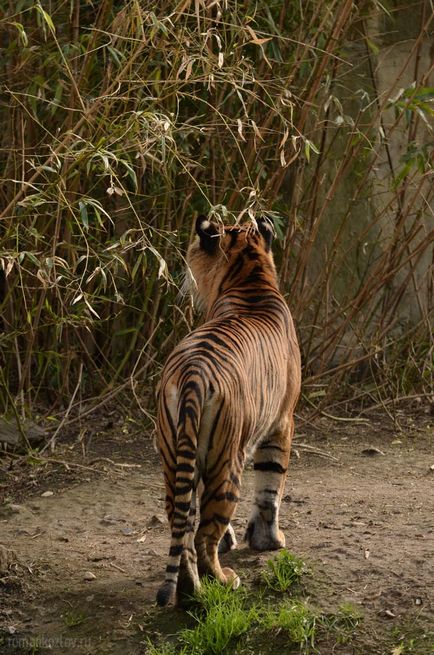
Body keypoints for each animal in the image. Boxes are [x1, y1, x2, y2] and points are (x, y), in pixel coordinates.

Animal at [156, 218, 302, 608]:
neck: (250, 276)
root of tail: (193, 371)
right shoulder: (282, 423)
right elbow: (271, 486)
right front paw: (269, 542)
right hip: (228, 460)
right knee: (203, 534)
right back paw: (222, 581)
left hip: (174, 457)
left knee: (183, 527)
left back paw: (191, 591)